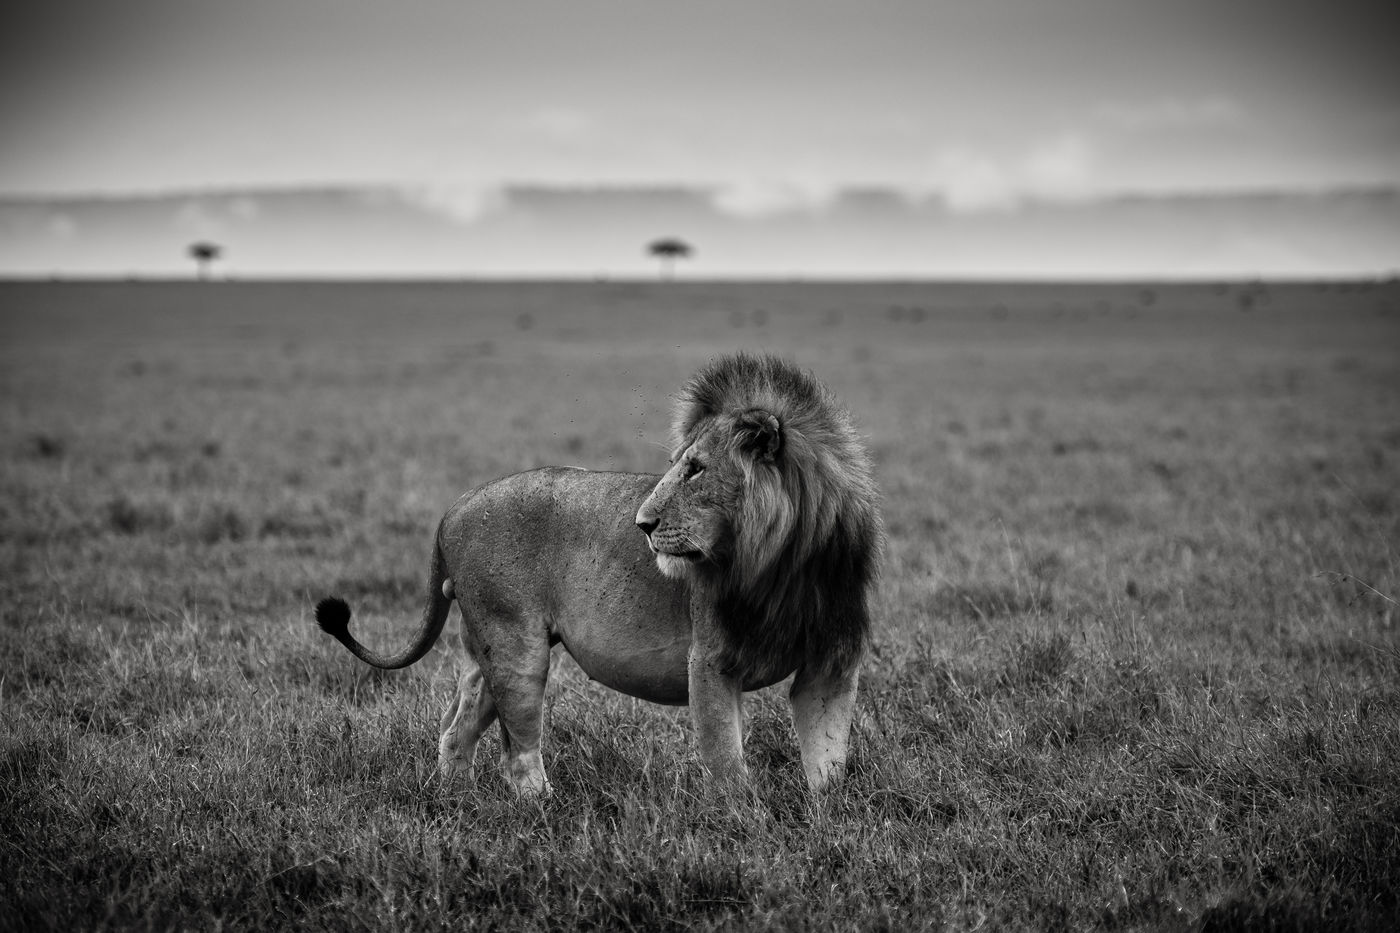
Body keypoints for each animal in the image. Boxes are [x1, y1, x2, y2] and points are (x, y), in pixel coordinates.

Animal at [315, 353, 881, 796]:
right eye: (676, 464)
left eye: (695, 469)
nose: (643, 524)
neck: (784, 563)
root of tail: (453, 508)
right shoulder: (711, 660)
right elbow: (727, 765)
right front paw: (746, 826)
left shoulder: (831, 662)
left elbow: (828, 761)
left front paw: (826, 821)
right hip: (515, 644)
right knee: (517, 750)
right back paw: (543, 809)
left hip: (484, 649)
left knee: (457, 729)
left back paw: (453, 800)